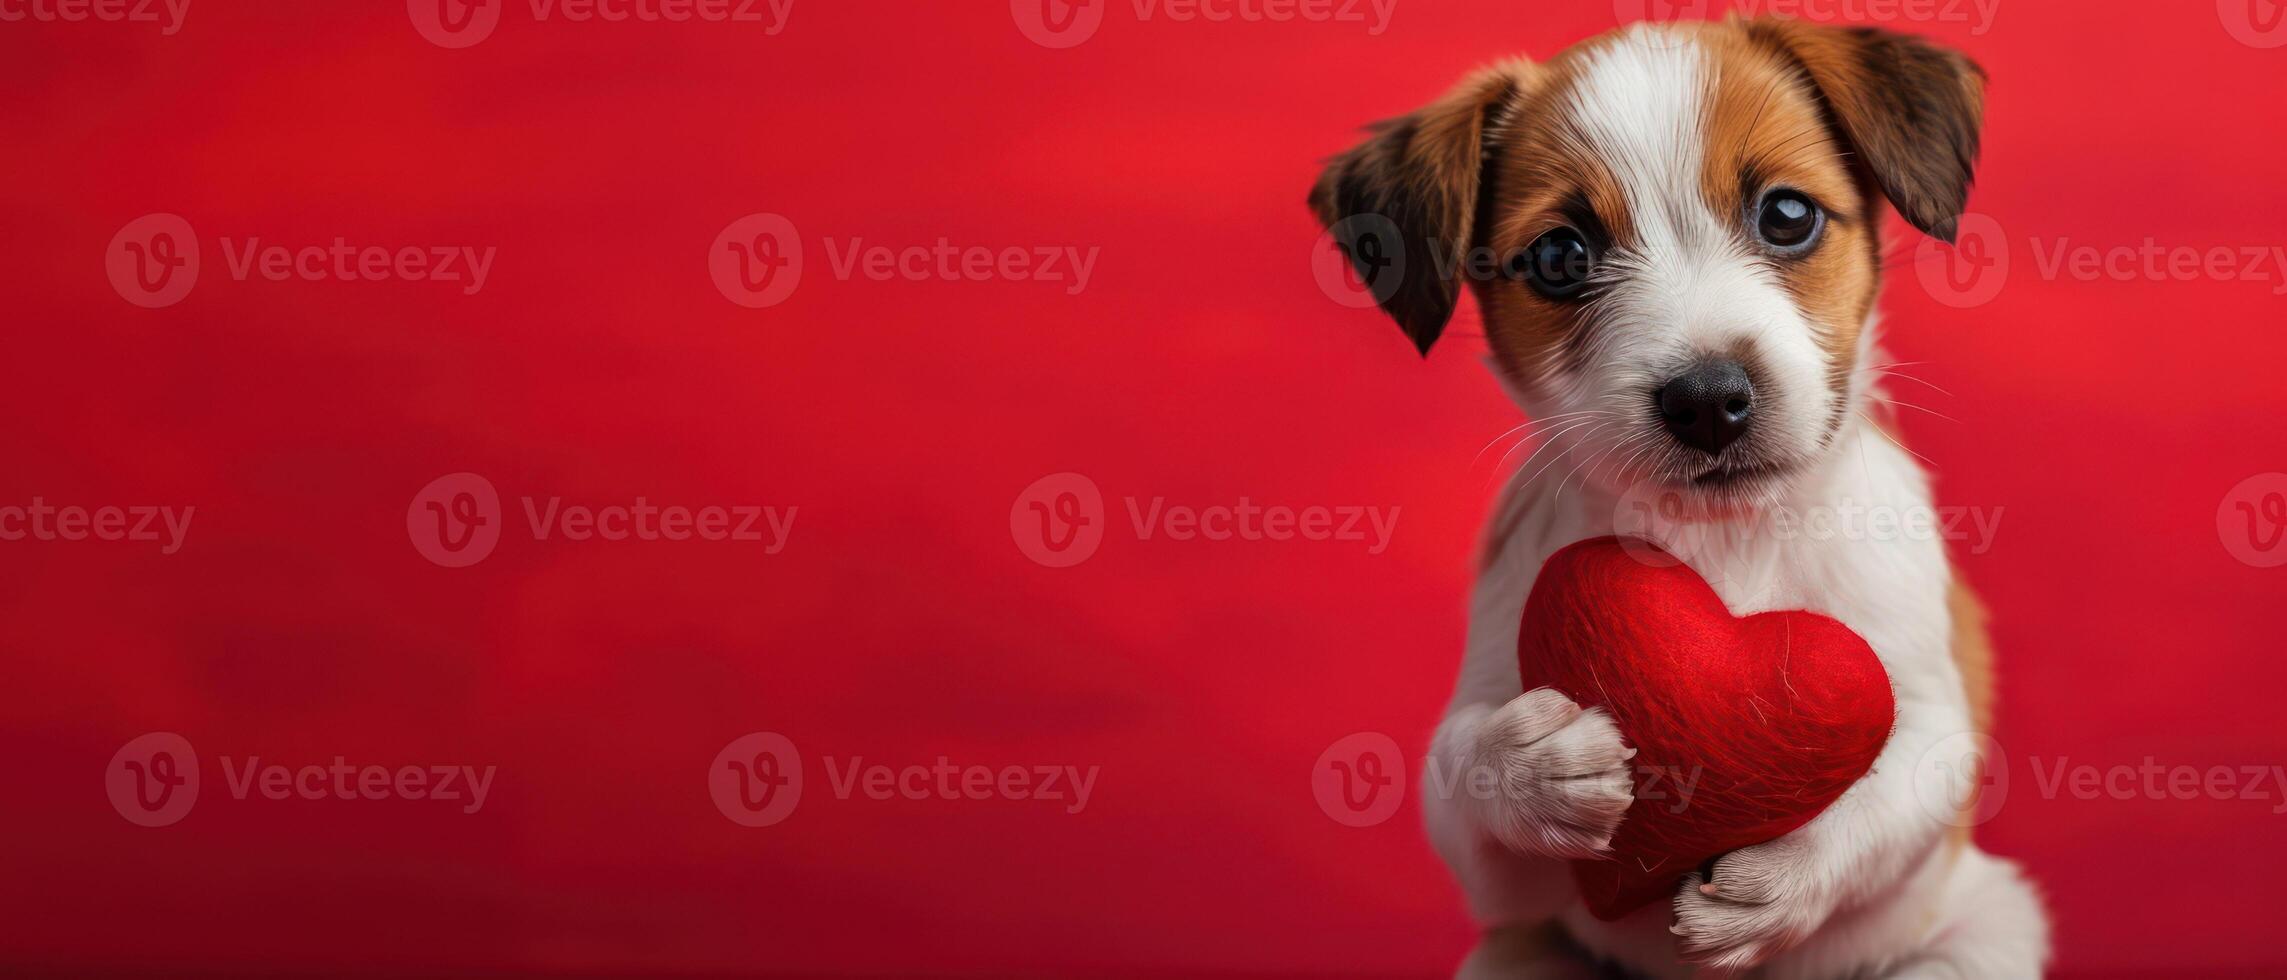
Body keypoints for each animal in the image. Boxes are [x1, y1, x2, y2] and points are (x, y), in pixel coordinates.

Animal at [1326, 15, 2058, 977]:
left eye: (1786, 215)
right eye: (1559, 256)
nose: (1708, 400)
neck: (1724, 543)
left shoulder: (1931, 720)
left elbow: (1890, 793)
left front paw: (1783, 878)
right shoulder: (1501, 876)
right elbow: (1456, 775)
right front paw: (1527, 765)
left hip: (1980, 933)